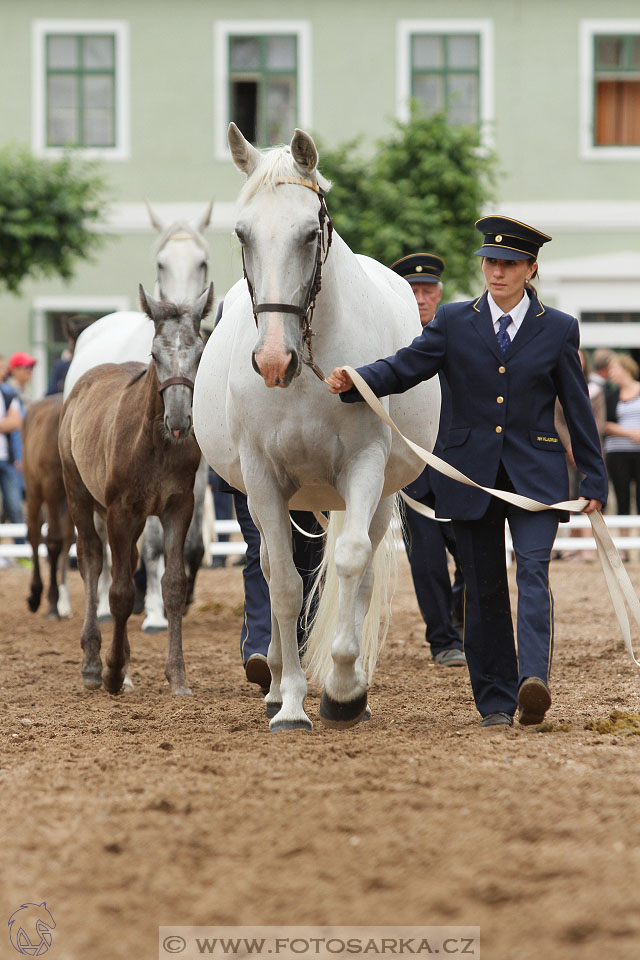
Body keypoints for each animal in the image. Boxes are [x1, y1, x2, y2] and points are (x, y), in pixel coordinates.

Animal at [63, 203, 212, 632]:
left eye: (202, 260)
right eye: (161, 262)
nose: (183, 306)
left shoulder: (197, 475)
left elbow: (192, 544)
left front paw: (183, 596)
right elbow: (151, 544)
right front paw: (156, 613)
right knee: (98, 542)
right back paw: (102, 606)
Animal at [191, 124, 440, 732]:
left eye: (309, 233)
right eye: (242, 234)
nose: (272, 360)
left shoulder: (364, 468)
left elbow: (350, 564)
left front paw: (344, 690)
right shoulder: (262, 478)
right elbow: (283, 583)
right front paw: (291, 704)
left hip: (376, 496)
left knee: (362, 567)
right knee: (269, 567)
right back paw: (277, 678)